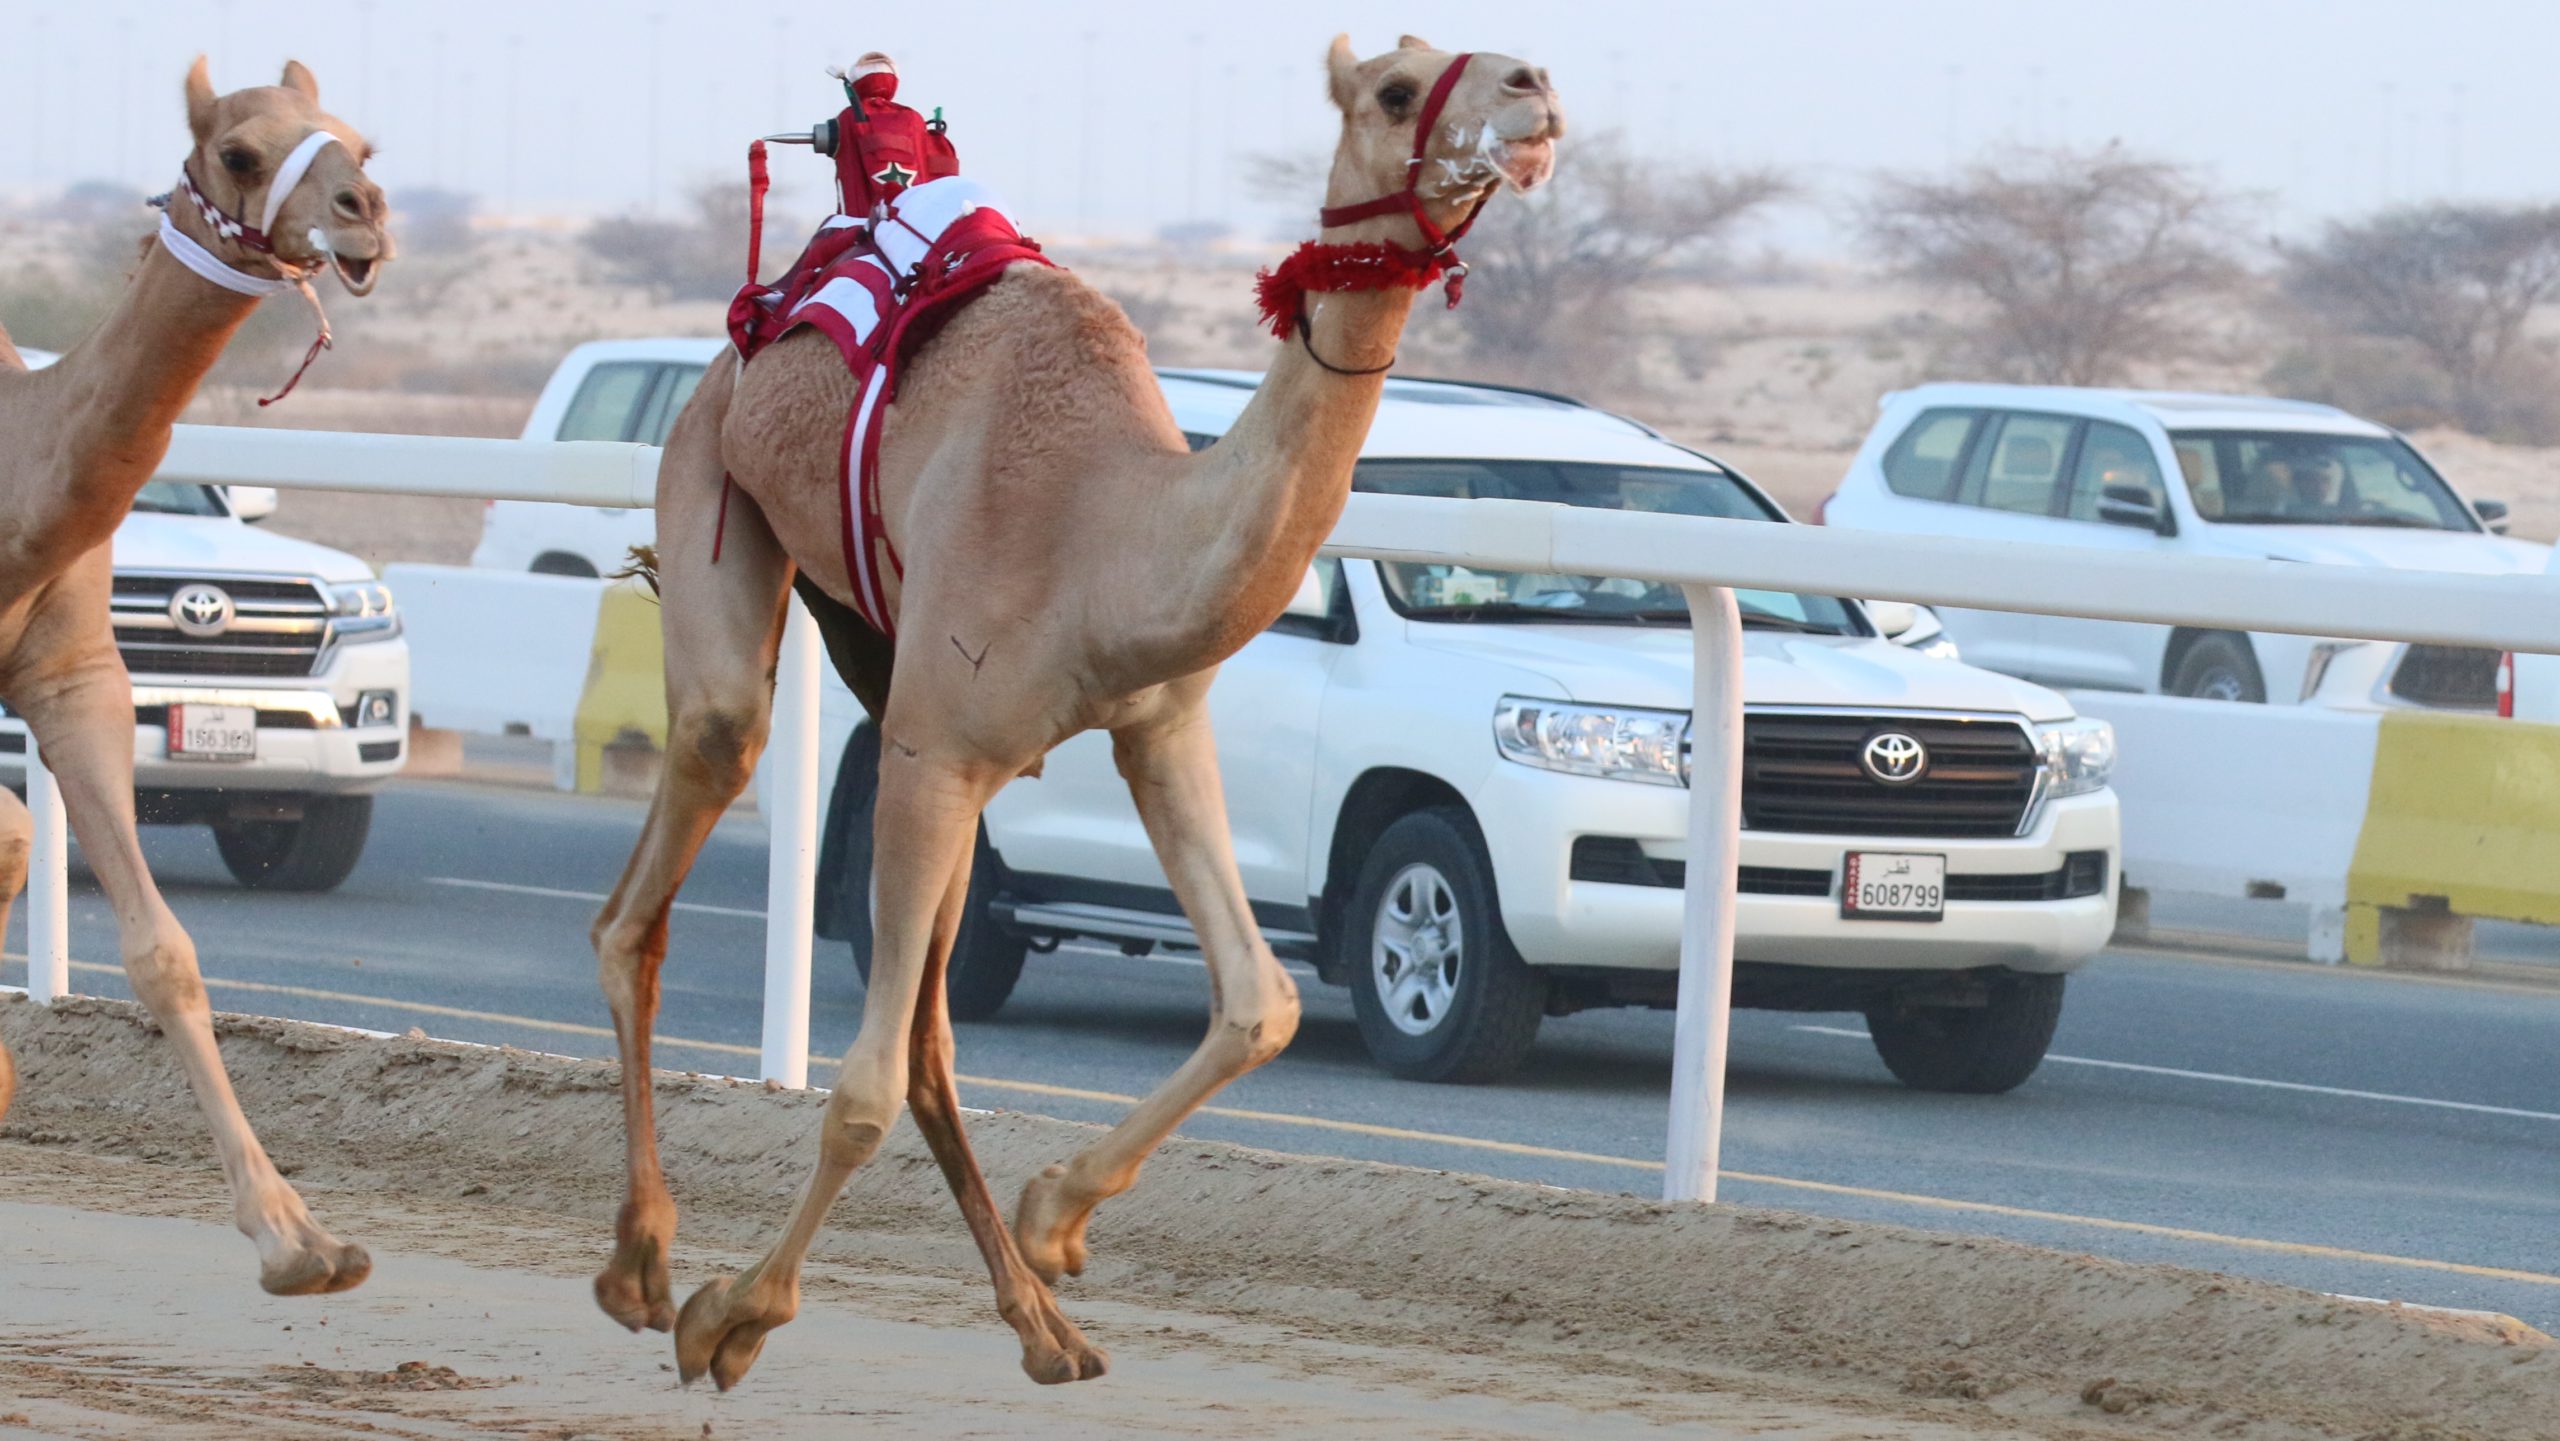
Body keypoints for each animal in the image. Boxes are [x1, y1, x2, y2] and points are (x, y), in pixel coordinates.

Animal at [0, 56, 389, 1295]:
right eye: (239, 152)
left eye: (360, 138)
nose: (365, 214)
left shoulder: (73, 674)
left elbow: (159, 946)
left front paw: (300, 1240)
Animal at [586, 33, 1556, 1382]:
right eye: (1396, 90)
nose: (1532, 94)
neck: (1109, 532)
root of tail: (745, 334)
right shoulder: (937, 750)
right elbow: (857, 1090)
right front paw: (734, 1316)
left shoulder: (1157, 726)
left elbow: (1262, 1003)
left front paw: (1056, 1218)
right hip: (715, 492)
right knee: (655, 884)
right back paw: (643, 1264)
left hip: (889, 672)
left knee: (929, 1036)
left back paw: (1042, 1324)